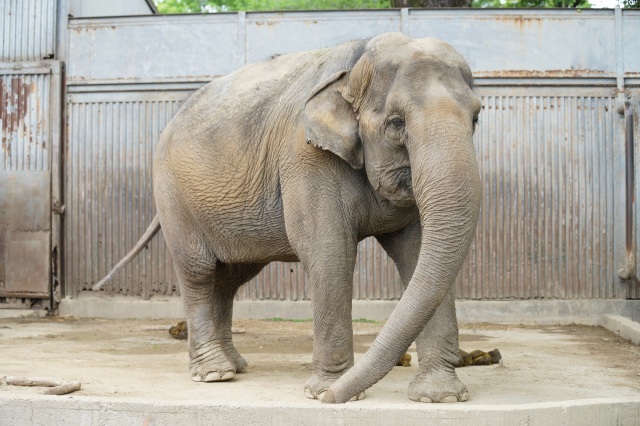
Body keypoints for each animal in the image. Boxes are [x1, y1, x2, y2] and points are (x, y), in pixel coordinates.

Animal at [95, 32, 480, 402]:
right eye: (396, 122)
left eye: (476, 118)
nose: (334, 400)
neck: (357, 64)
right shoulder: (304, 155)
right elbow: (330, 252)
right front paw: (327, 392)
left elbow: (416, 255)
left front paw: (440, 397)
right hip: (173, 195)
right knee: (199, 272)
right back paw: (214, 374)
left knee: (229, 278)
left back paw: (235, 366)